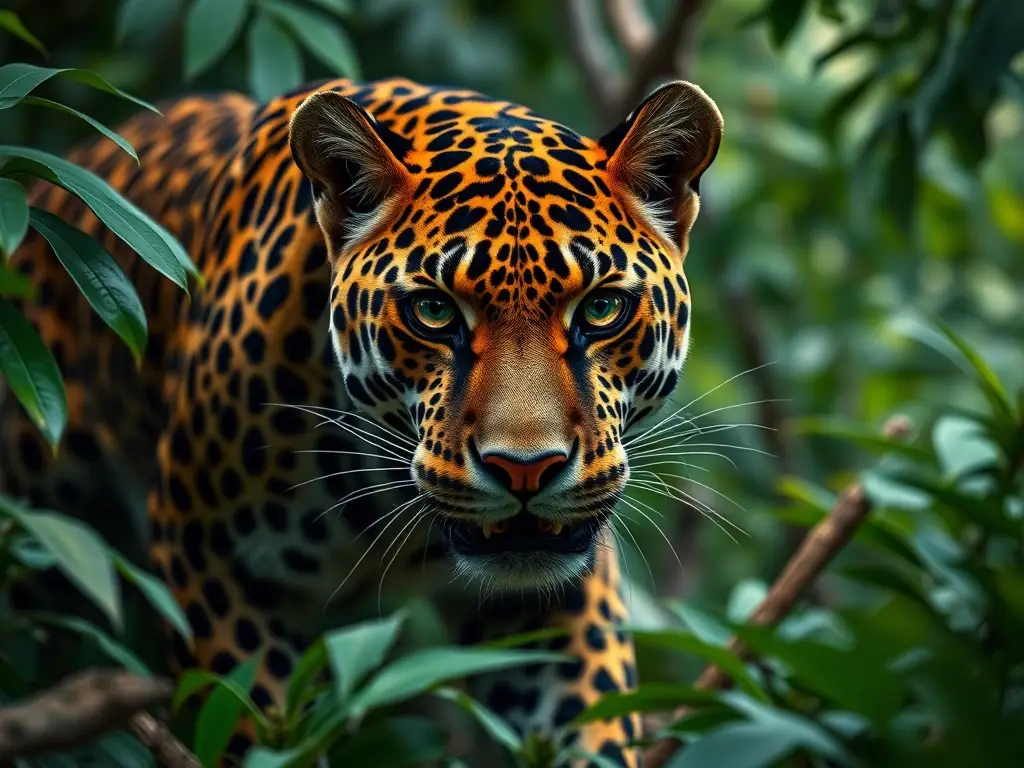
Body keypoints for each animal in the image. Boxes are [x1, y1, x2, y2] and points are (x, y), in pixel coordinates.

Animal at [0, 76, 722, 766]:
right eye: (433, 311)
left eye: (601, 309)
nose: (525, 470)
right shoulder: (202, 555)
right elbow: (256, 727)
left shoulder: (557, 594)